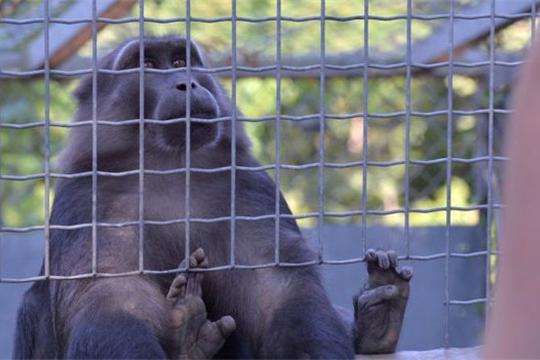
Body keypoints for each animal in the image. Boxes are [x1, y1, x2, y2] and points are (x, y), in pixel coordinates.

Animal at [12, 35, 412, 358]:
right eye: (147, 64)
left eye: (179, 61)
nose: (186, 83)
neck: (169, 167)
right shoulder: (89, 198)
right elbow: (113, 296)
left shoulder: (246, 186)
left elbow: (278, 291)